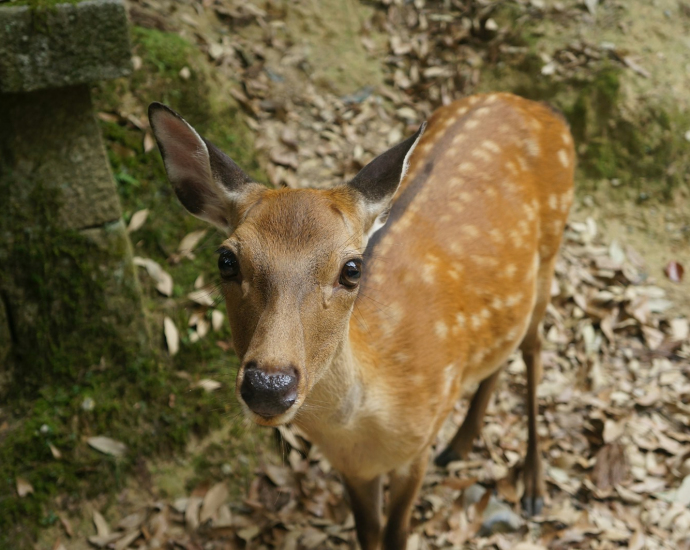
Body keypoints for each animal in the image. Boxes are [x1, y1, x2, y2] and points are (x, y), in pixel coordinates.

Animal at [148, 92, 572, 548]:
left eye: (352, 269)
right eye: (226, 260)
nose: (268, 387)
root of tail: (540, 106)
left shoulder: (417, 450)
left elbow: (397, 533)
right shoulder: (352, 469)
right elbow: (369, 535)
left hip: (550, 257)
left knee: (533, 349)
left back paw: (534, 486)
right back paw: (460, 444)